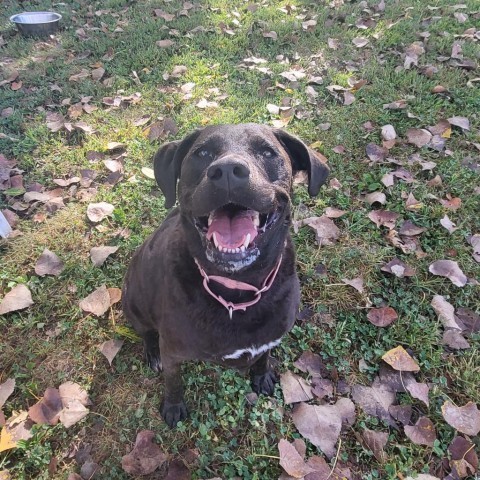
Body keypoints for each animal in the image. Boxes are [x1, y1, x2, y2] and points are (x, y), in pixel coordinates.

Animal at [122, 124, 328, 428]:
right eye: (202, 153)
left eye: (267, 152)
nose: (228, 170)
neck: (237, 289)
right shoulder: (173, 351)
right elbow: (173, 381)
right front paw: (173, 406)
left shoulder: (271, 336)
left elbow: (264, 355)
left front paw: (261, 375)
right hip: (134, 301)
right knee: (146, 331)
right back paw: (151, 352)